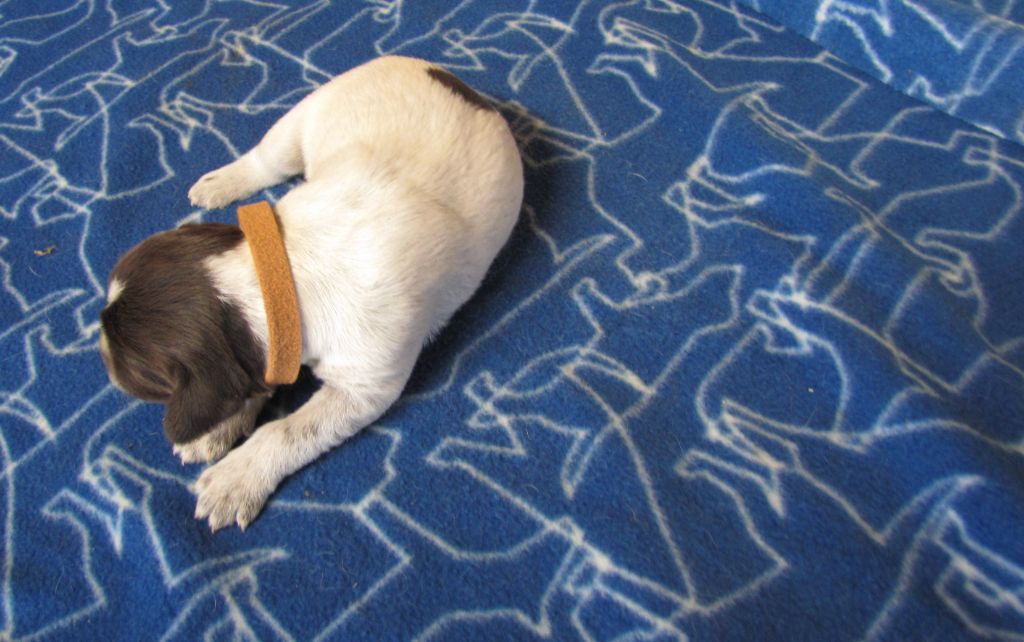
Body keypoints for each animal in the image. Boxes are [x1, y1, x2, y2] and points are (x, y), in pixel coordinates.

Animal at [98, 56, 524, 531]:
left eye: (137, 370)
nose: (101, 357)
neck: (282, 275)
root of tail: (458, 81)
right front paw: (217, 428)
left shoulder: (364, 387)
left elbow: (285, 431)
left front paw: (236, 476)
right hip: (305, 116)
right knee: (266, 161)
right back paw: (221, 182)